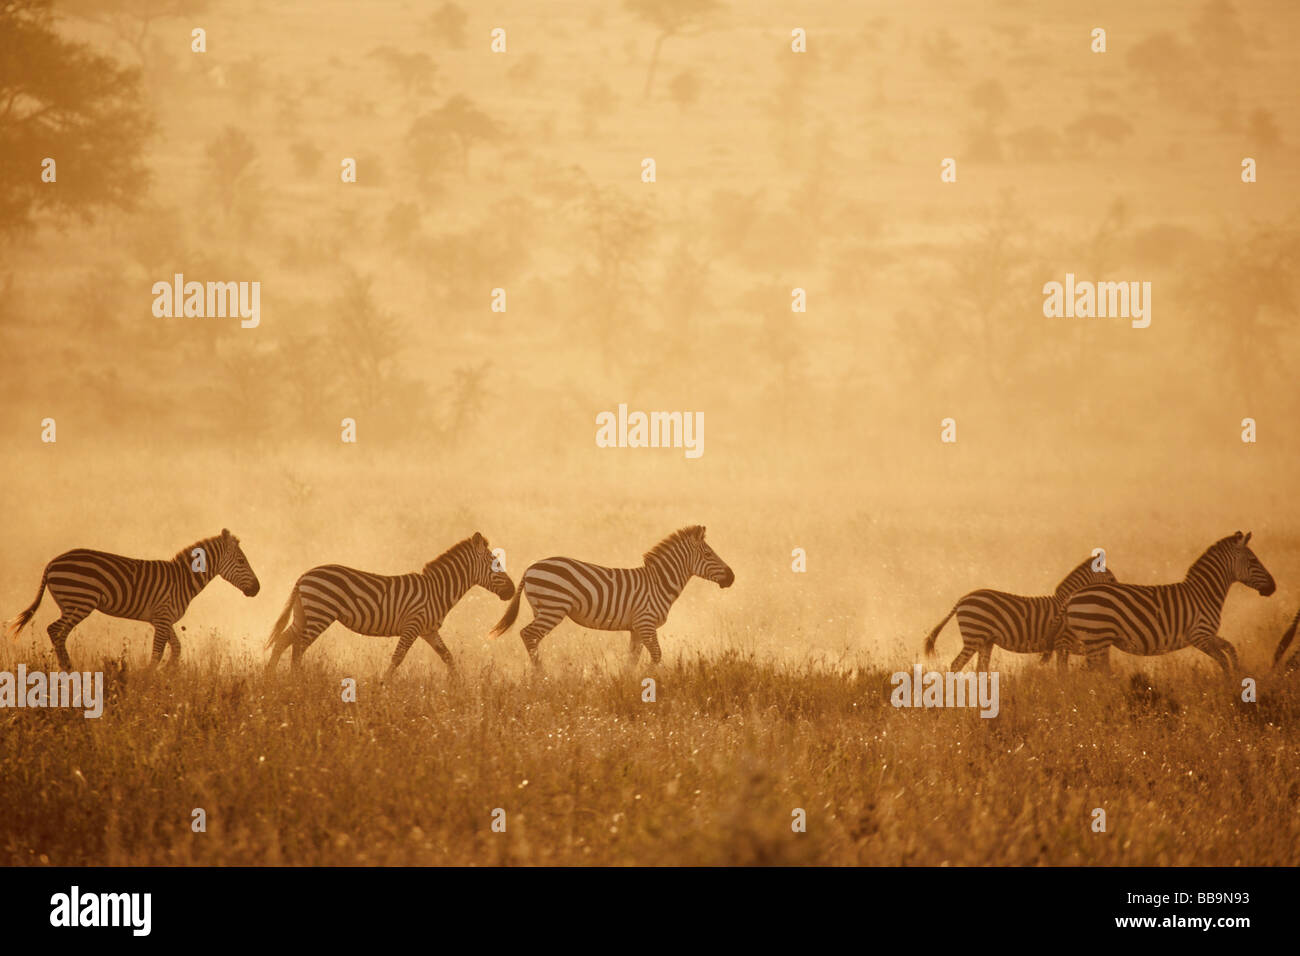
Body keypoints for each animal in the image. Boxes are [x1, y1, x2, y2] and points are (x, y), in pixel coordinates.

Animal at [4, 529, 260, 669]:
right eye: (241, 561)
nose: (257, 589)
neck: (183, 579)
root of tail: (52, 562)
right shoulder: (163, 617)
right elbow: (157, 653)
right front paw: (148, 679)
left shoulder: (162, 619)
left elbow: (176, 649)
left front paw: (168, 673)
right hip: (81, 601)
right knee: (55, 630)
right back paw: (68, 669)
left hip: (69, 604)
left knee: (58, 633)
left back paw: (66, 669)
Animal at [264, 532, 514, 678]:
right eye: (496, 565)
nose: (512, 591)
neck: (438, 590)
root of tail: (304, 575)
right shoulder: (413, 625)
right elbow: (397, 658)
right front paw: (382, 687)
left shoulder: (429, 630)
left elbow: (448, 657)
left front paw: (457, 686)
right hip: (320, 613)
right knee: (298, 646)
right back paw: (297, 680)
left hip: (304, 613)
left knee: (283, 640)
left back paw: (270, 677)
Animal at [487, 525, 734, 667]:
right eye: (708, 554)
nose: (731, 577)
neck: (659, 583)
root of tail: (531, 567)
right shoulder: (646, 623)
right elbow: (656, 656)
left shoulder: (636, 629)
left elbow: (632, 661)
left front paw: (627, 685)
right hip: (553, 608)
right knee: (528, 634)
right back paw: (541, 675)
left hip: (540, 609)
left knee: (531, 637)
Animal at [923, 555, 1117, 672]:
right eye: (1111, 579)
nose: (1117, 591)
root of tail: (963, 598)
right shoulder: (1064, 642)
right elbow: (1065, 670)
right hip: (974, 635)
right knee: (956, 664)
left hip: (985, 641)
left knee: (980, 669)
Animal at [1062, 531, 1275, 674]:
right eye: (1253, 560)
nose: (1273, 587)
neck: (1204, 593)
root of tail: (1072, 596)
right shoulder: (1199, 635)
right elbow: (1223, 659)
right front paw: (1228, 685)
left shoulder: (1208, 634)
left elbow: (1230, 649)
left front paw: (1237, 674)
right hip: (1097, 639)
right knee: (1096, 674)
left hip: (1096, 641)